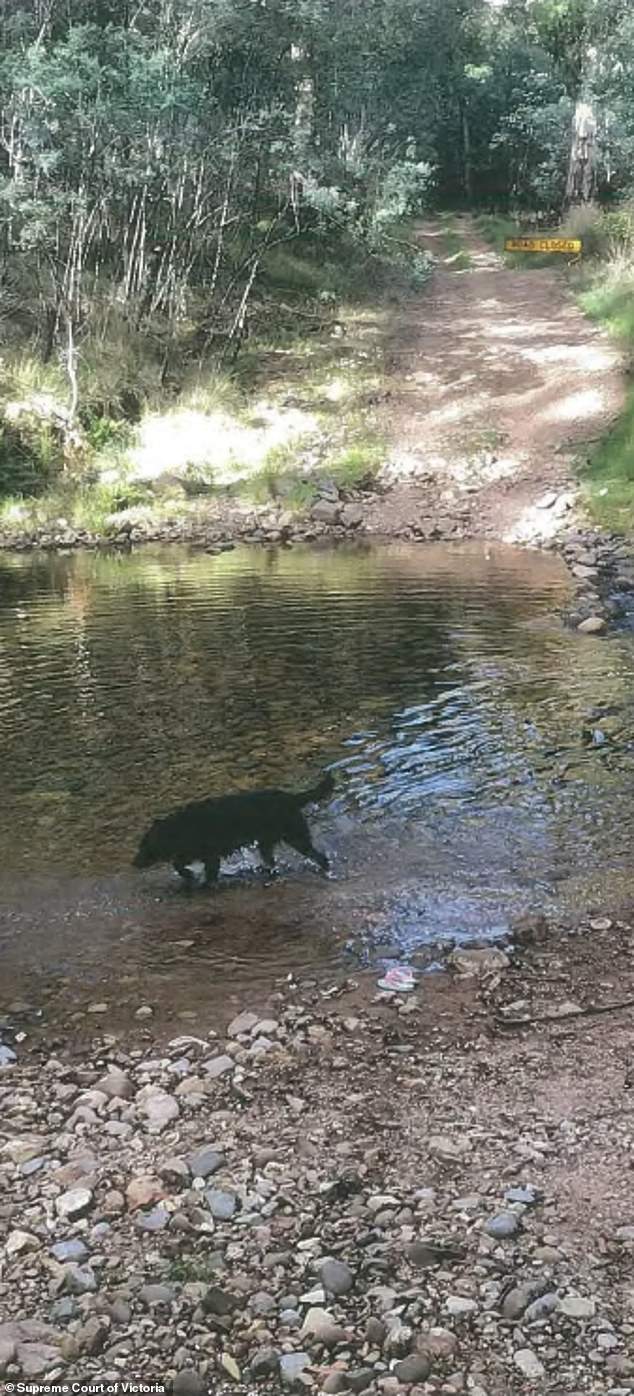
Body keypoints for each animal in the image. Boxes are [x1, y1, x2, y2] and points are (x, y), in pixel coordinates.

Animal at [131, 776, 333, 882]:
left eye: (144, 847)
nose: (133, 862)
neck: (179, 829)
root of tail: (291, 798)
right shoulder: (191, 852)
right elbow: (178, 863)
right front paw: (190, 876)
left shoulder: (210, 854)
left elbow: (204, 870)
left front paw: (199, 881)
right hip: (266, 842)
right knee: (271, 860)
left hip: (295, 836)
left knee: (320, 856)